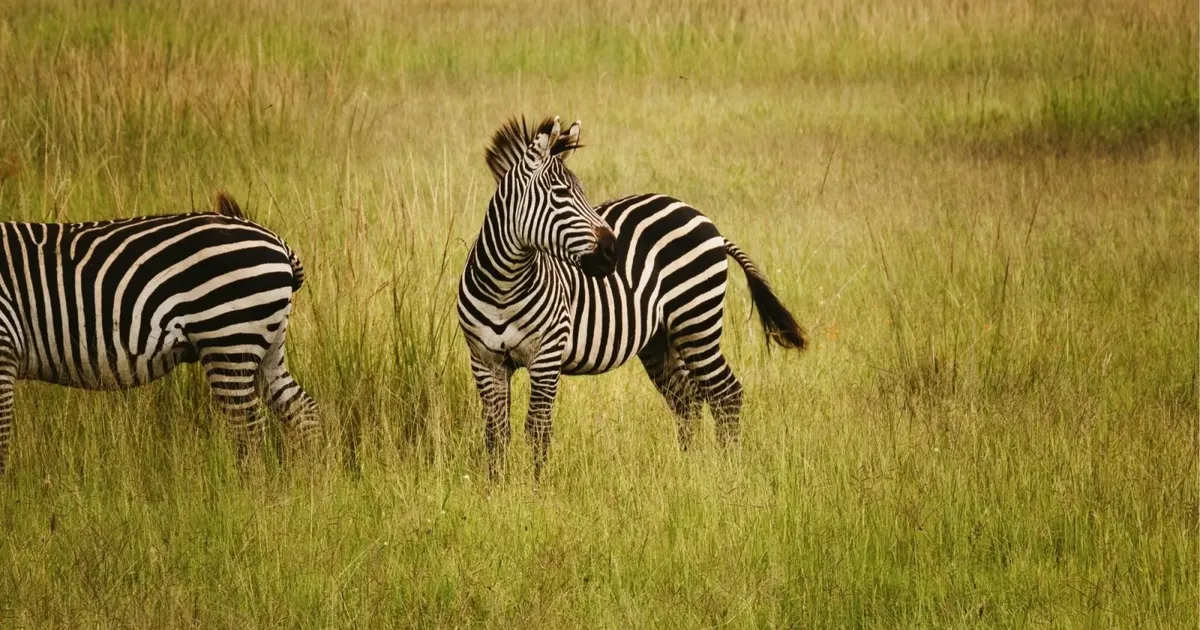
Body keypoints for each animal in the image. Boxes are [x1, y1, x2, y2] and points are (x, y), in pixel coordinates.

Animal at [0, 193, 318, 472]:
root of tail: (277, 242)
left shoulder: (4, 350)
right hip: (266, 346)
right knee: (303, 412)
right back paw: (309, 481)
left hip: (228, 341)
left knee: (249, 430)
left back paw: (251, 494)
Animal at [458, 116, 806, 479]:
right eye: (561, 193)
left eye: (582, 192)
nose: (614, 252)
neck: (503, 286)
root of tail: (703, 218)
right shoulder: (485, 361)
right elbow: (496, 433)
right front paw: (497, 487)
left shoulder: (546, 356)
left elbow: (537, 429)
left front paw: (536, 488)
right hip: (661, 339)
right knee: (688, 401)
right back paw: (688, 470)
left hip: (696, 323)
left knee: (726, 393)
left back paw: (728, 469)